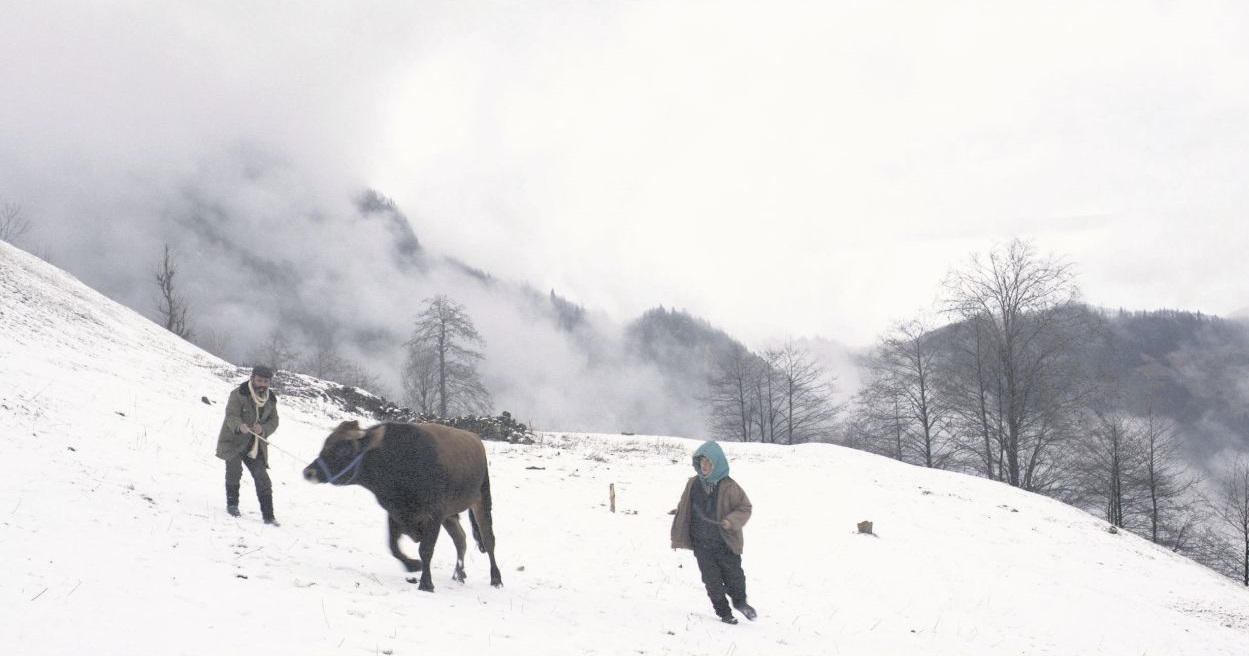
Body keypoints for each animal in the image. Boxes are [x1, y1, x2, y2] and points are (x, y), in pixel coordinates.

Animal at [303, 422, 502, 589]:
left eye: (342, 450)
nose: (308, 472)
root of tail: (475, 438)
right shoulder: (395, 512)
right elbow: (393, 547)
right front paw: (413, 565)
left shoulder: (434, 514)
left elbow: (425, 549)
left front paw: (426, 583)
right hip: (449, 516)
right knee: (460, 539)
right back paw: (458, 574)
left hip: (482, 500)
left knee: (489, 540)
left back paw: (496, 579)